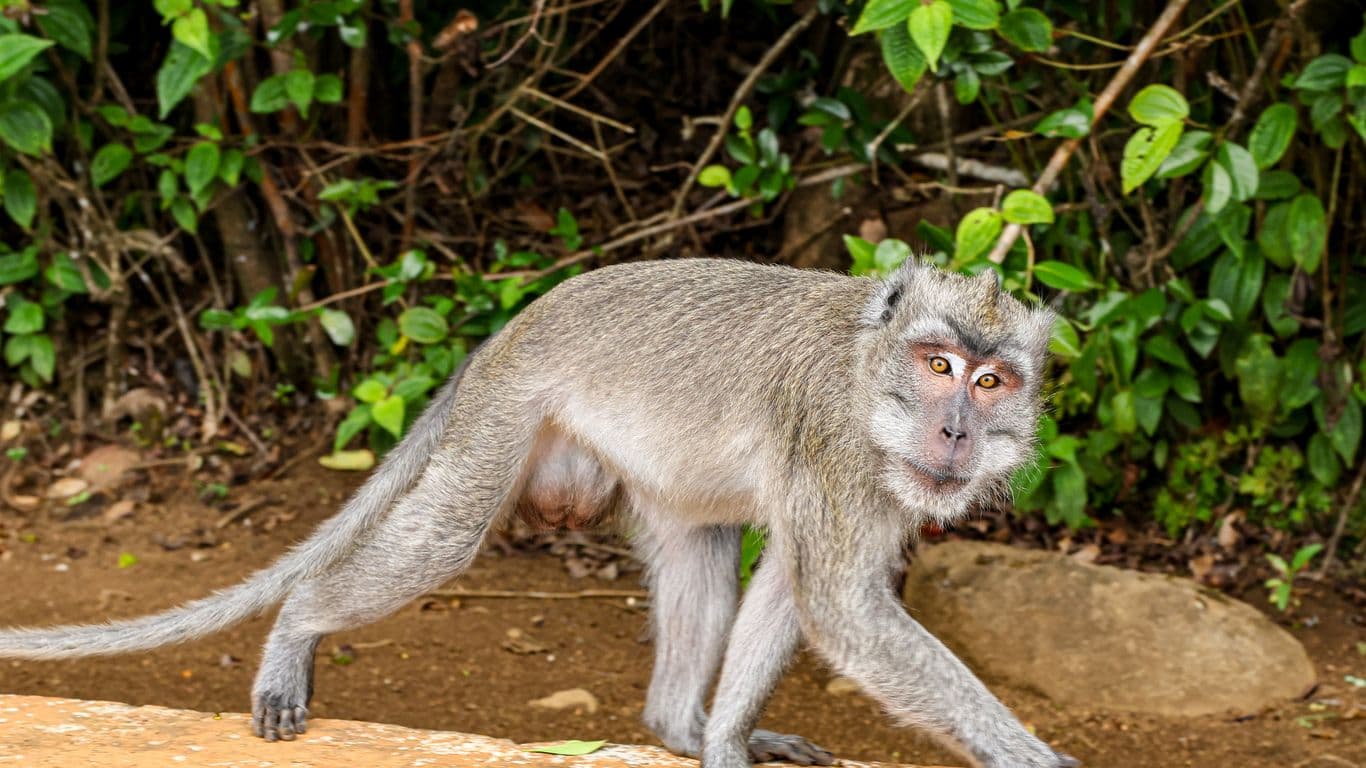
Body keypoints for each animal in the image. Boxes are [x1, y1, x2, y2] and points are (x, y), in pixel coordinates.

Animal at [0, 258, 1077, 768]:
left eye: (991, 381)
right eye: (936, 365)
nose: (954, 432)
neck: (867, 373)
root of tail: (514, 325)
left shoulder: (867, 481)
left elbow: (801, 587)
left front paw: (726, 747)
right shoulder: (841, 447)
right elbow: (841, 606)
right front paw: (1025, 752)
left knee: (703, 542)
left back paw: (678, 727)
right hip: (509, 415)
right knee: (444, 536)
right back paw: (298, 626)